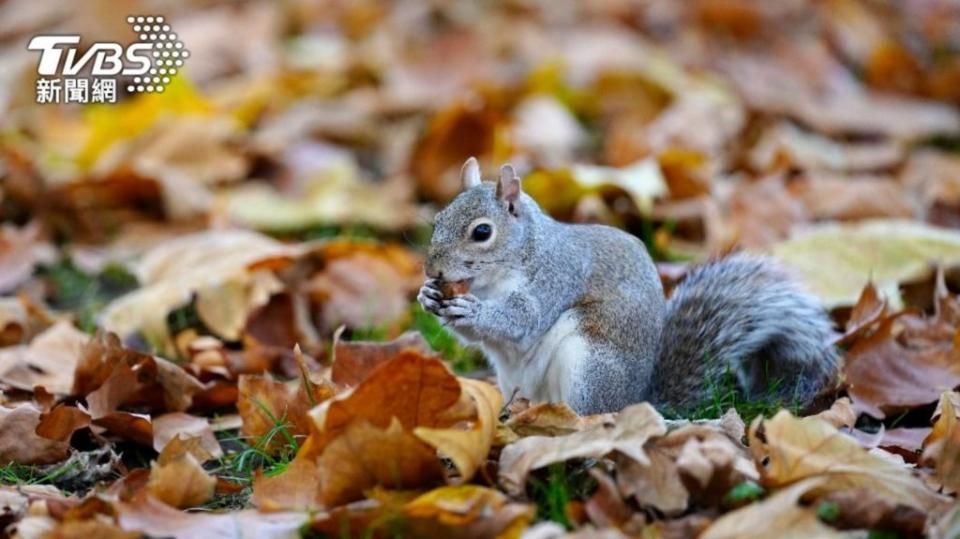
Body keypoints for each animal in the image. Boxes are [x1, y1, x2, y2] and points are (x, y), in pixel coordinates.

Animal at [416, 158, 836, 416]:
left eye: (482, 232)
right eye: (437, 220)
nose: (432, 269)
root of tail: (638, 401)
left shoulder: (557, 275)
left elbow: (523, 318)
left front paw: (473, 311)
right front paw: (428, 296)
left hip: (591, 366)